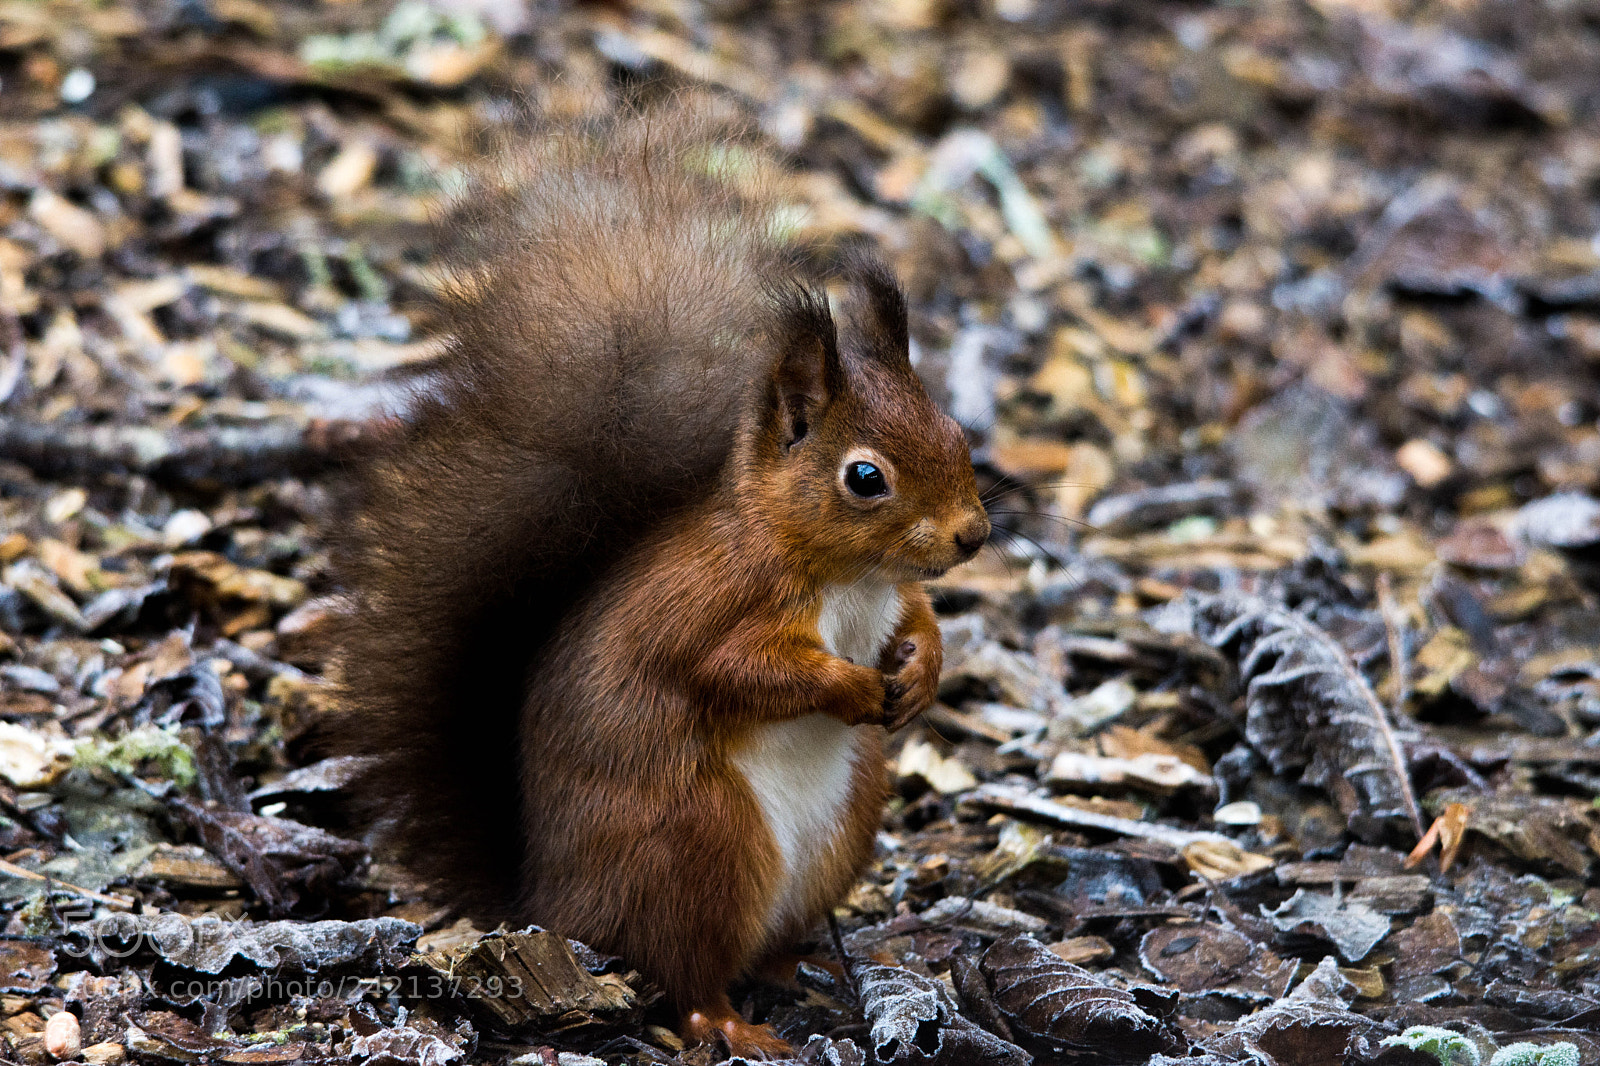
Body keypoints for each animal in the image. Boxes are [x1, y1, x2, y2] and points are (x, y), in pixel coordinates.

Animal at [329, 102, 990, 1058]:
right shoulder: (714, 607)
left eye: (958, 434)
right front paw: (856, 687)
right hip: (700, 844)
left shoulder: (894, 595)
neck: (849, 577)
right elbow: (736, 670)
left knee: (760, 948)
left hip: (841, 824)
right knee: (684, 972)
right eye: (866, 478)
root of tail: (551, 905)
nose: (974, 534)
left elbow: (923, 618)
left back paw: (805, 968)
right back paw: (736, 1023)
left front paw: (923, 672)